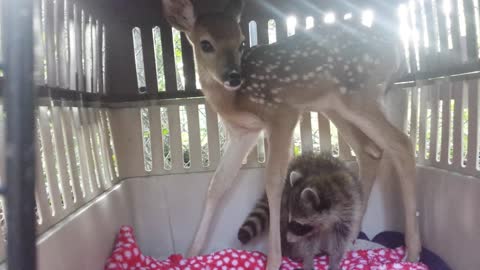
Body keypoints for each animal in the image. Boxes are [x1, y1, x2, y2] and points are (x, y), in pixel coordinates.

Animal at [236, 153, 364, 268]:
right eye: (292, 222)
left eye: (298, 225)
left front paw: (335, 261)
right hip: (283, 203)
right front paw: (308, 260)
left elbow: (341, 241)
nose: (289, 239)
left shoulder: (349, 209)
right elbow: (308, 243)